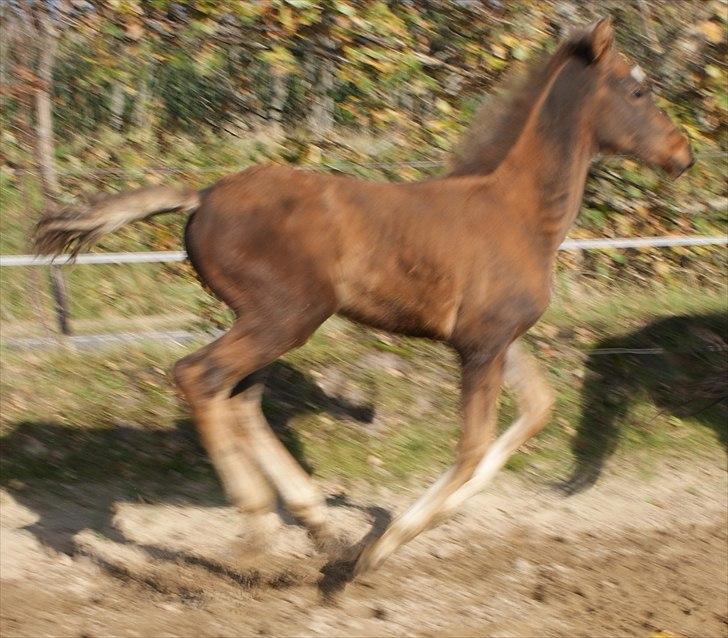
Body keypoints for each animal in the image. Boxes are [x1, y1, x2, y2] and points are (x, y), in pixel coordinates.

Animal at [35, 21, 692, 580]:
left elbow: (537, 410)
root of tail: (202, 195)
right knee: (201, 377)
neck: (519, 210)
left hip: (268, 320)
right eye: (638, 90)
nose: (682, 155)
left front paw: (389, 533)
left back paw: (315, 524)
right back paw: (257, 535)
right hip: (286, 316)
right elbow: (473, 445)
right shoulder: (481, 344)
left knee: (241, 398)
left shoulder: (501, 339)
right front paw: (373, 553)